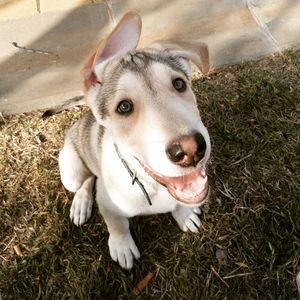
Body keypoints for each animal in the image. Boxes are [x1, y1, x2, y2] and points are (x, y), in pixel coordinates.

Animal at [59, 11, 211, 270]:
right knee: (86, 181)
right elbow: (117, 224)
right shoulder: (108, 204)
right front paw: (122, 246)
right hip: (70, 170)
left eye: (179, 84)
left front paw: (185, 215)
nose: (191, 150)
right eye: (124, 107)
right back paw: (81, 203)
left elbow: (181, 203)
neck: (152, 186)